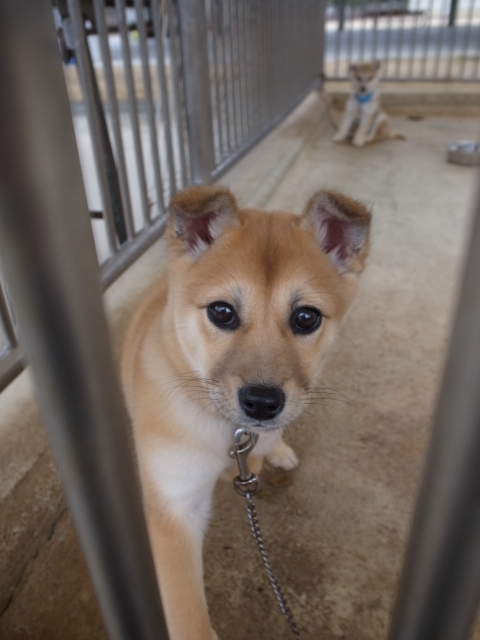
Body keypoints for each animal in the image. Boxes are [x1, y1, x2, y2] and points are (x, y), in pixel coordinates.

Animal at [122, 185, 374, 640]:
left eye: (306, 317)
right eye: (222, 311)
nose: (261, 402)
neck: (229, 434)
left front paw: (269, 451)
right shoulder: (174, 512)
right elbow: (189, 621)